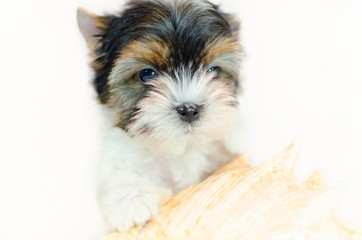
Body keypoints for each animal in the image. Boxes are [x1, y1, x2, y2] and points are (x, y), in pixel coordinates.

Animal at [77, 0, 242, 232]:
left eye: (213, 71)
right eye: (147, 74)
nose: (189, 109)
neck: (179, 150)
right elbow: (120, 174)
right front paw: (132, 200)